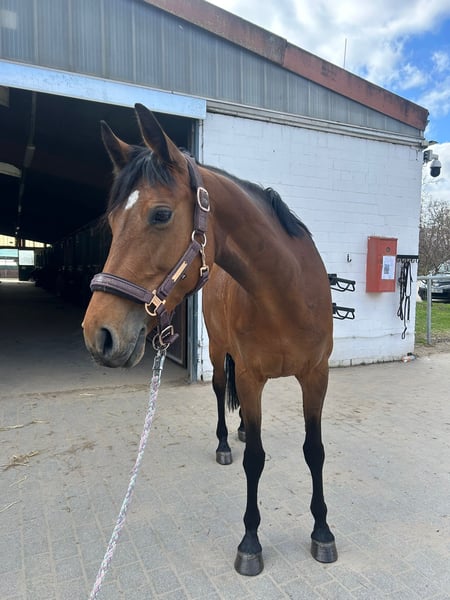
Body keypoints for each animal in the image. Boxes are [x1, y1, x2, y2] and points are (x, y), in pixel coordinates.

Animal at [83, 103, 337, 576]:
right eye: (111, 221)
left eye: (161, 215)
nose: (99, 335)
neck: (287, 293)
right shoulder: (252, 378)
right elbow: (256, 461)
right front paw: (250, 542)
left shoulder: (316, 377)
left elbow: (314, 451)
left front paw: (322, 532)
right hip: (220, 355)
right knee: (221, 390)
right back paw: (224, 441)